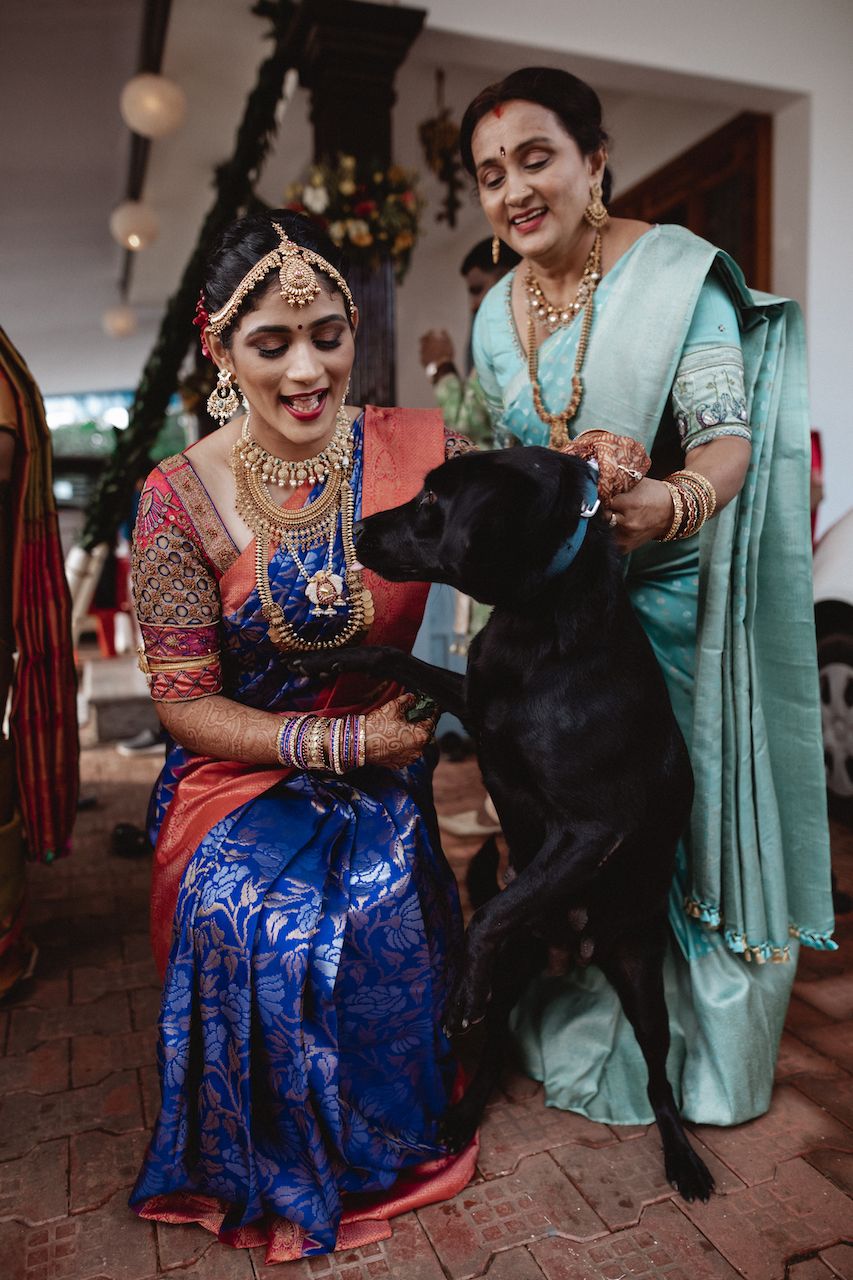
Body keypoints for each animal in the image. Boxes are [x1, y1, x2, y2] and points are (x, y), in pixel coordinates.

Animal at [292, 448, 712, 1198]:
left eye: (434, 500)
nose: (359, 529)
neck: (534, 622)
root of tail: (574, 951)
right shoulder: (474, 699)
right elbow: (392, 657)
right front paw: (326, 658)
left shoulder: (590, 829)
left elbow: (488, 914)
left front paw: (460, 985)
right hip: (518, 973)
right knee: (490, 1057)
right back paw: (460, 1118)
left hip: (640, 980)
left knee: (658, 1079)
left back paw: (682, 1157)